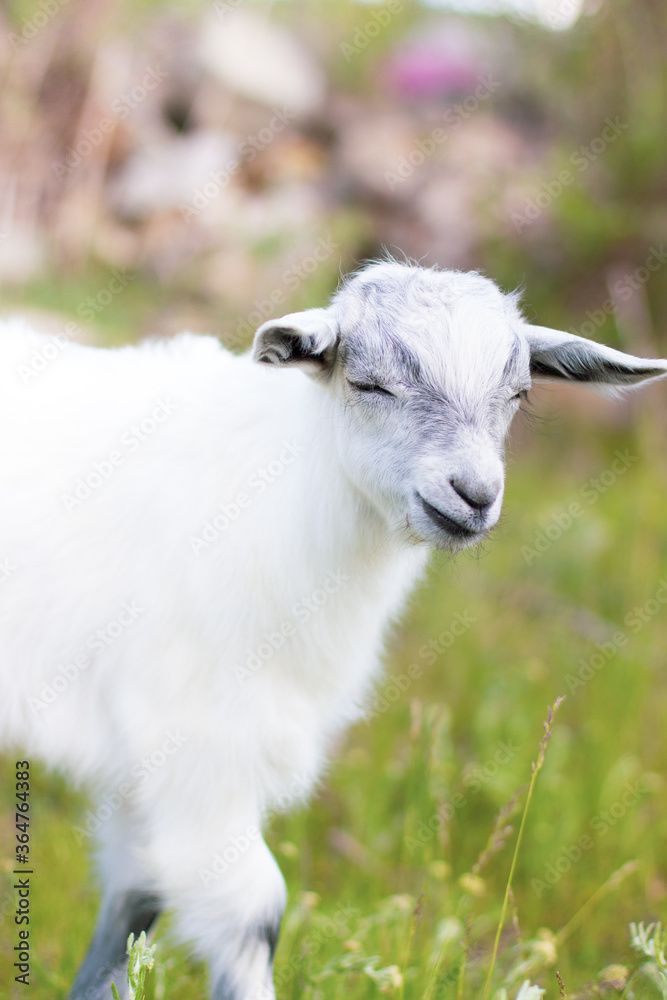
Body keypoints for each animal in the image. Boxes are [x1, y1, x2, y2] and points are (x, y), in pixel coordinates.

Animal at [0, 260, 665, 999]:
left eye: (517, 394)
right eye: (367, 383)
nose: (473, 493)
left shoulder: (149, 764)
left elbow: (134, 899)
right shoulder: (196, 742)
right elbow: (252, 908)